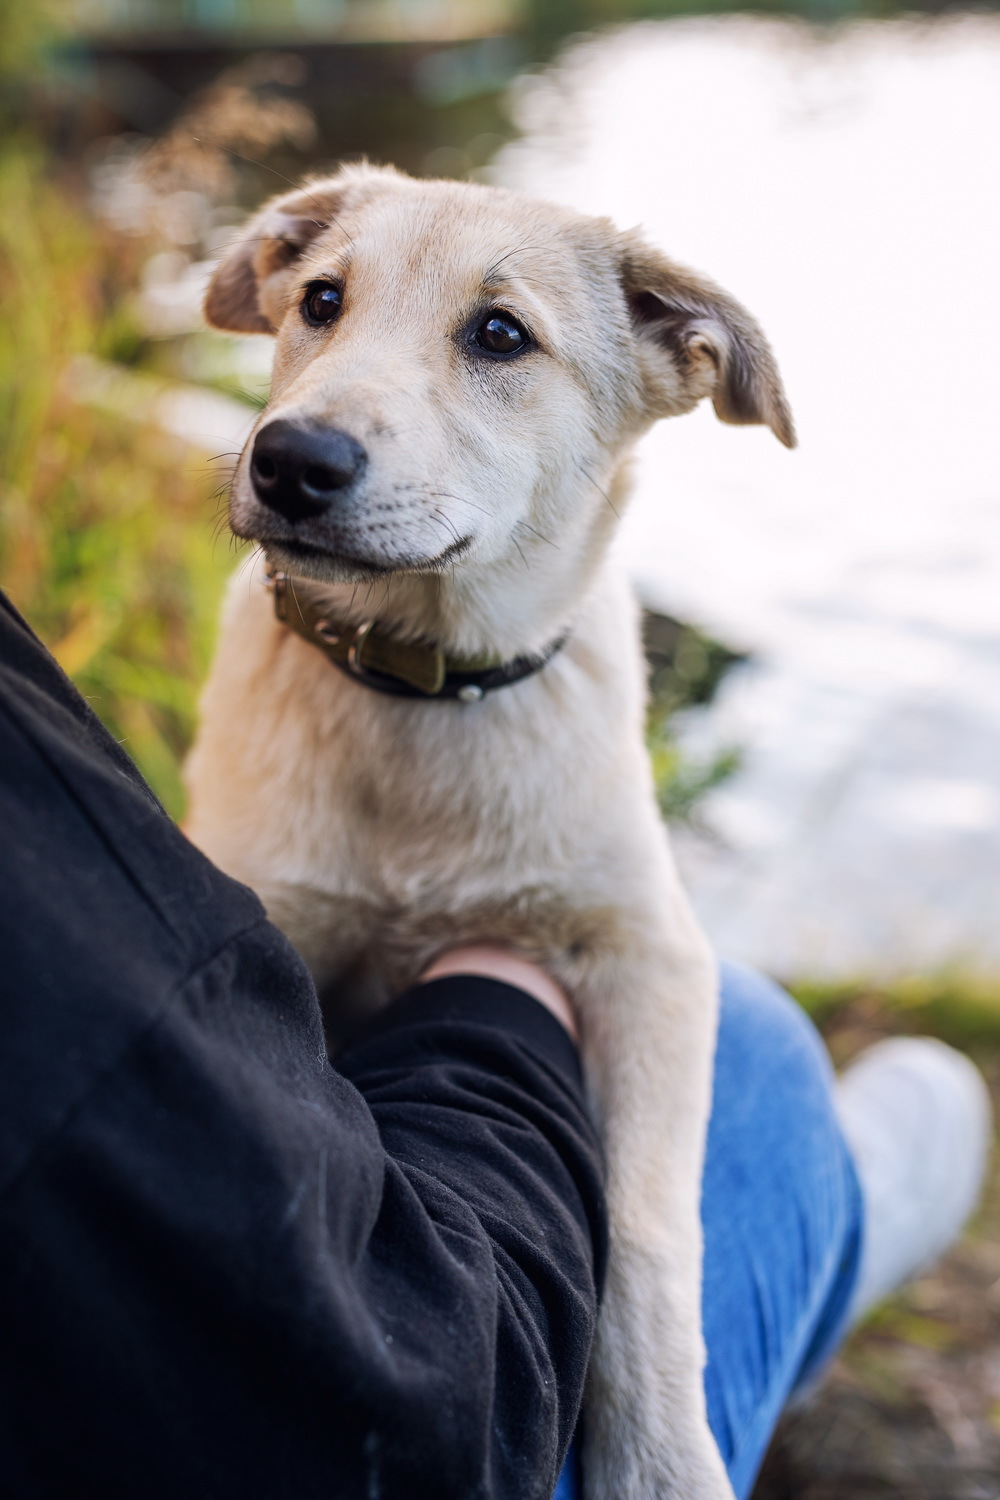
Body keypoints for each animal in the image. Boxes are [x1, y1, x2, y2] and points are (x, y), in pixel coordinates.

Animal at [185, 164, 797, 1500]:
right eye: (320, 301)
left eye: (501, 336)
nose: (289, 459)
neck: (420, 698)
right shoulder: (282, 925)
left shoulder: (651, 956)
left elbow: (650, 1222)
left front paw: (661, 1459)